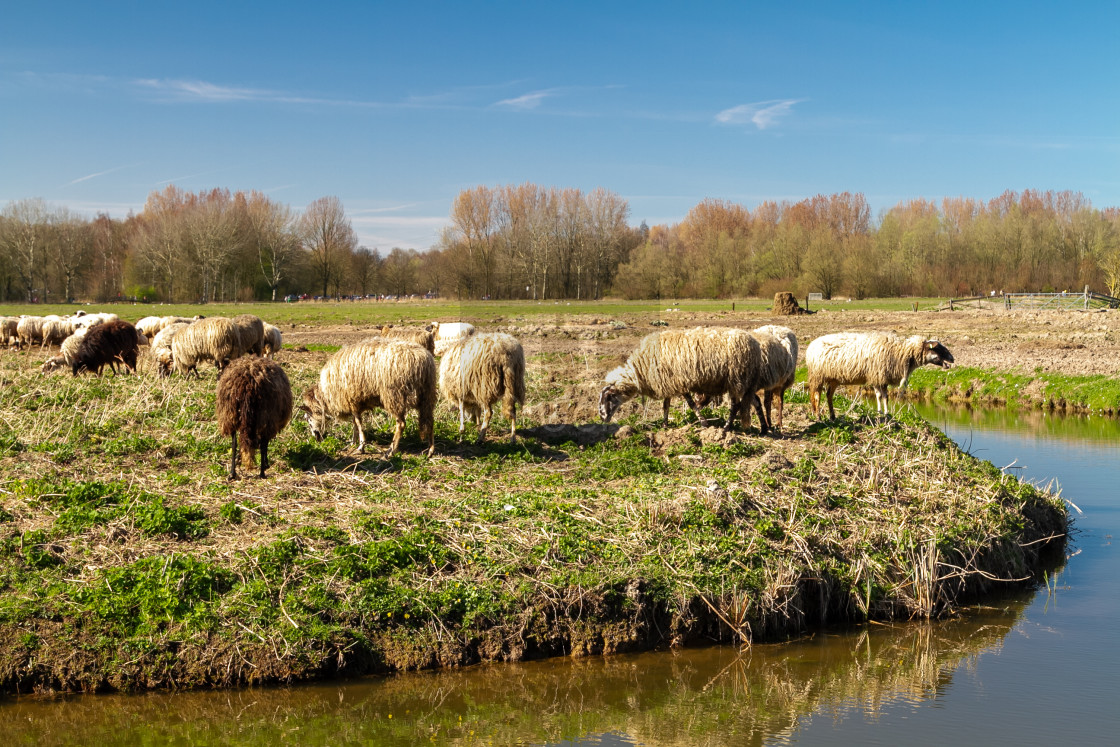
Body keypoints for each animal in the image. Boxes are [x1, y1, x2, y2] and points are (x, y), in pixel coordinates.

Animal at [297, 338, 436, 456]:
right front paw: (352, 442)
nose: (317, 438)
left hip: (394, 395)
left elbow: (358, 423)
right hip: (427, 395)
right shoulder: (355, 402)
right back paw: (430, 450)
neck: (325, 397)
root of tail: (422, 359)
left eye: (307, 419)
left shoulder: (351, 400)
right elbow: (354, 423)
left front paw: (361, 446)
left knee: (401, 424)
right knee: (430, 421)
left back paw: (390, 451)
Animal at [595, 324, 770, 434]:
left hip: (736, 379)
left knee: (735, 406)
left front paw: (703, 423)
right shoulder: (668, 383)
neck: (641, 369)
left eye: (609, 397)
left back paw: (726, 428)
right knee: (755, 401)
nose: (603, 418)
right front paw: (665, 425)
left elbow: (691, 404)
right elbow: (666, 406)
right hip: (745, 382)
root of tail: (755, 345)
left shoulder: (680, 383)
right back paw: (763, 429)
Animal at [806, 329, 954, 418]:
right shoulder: (879, 376)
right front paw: (887, 413)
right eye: (938, 349)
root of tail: (811, 346)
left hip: (833, 378)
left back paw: (832, 416)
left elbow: (878, 395)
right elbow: (885, 397)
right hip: (817, 375)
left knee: (829, 395)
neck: (902, 353)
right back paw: (818, 415)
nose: (952, 359)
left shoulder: (876, 377)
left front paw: (880, 412)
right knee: (816, 395)